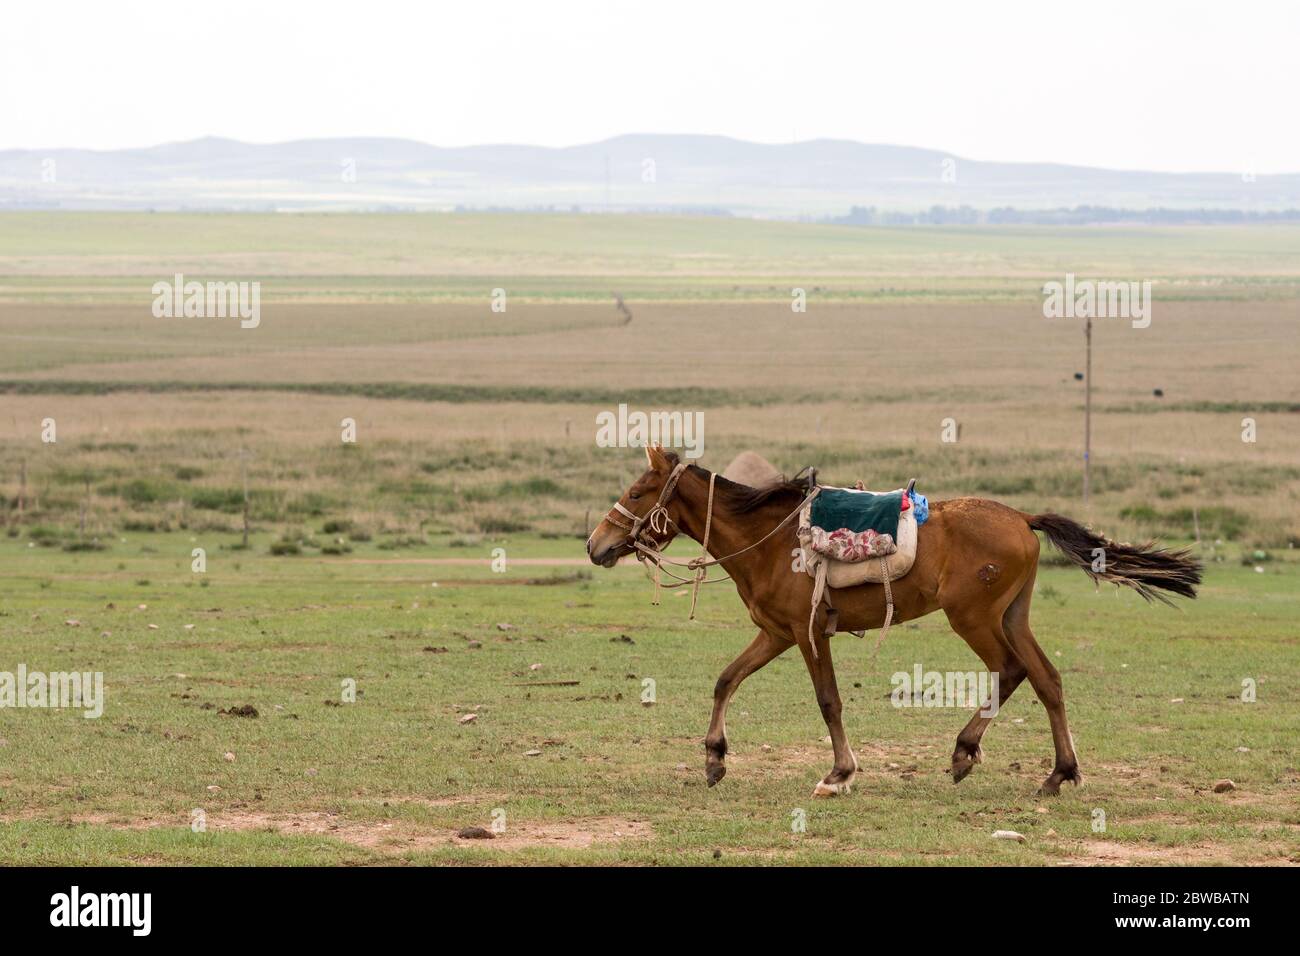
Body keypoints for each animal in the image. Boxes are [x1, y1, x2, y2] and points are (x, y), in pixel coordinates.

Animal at [586, 446, 1201, 797]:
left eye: (637, 492)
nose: (596, 545)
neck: (772, 540)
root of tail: (1022, 518)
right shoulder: (777, 633)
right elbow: (725, 679)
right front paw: (714, 758)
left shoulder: (808, 635)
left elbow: (828, 701)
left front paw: (839, 774)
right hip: (1013, 616)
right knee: (1045, 679)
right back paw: (1056, 772)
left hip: (974, 619)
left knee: (1010, 671)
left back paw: (972, 753)